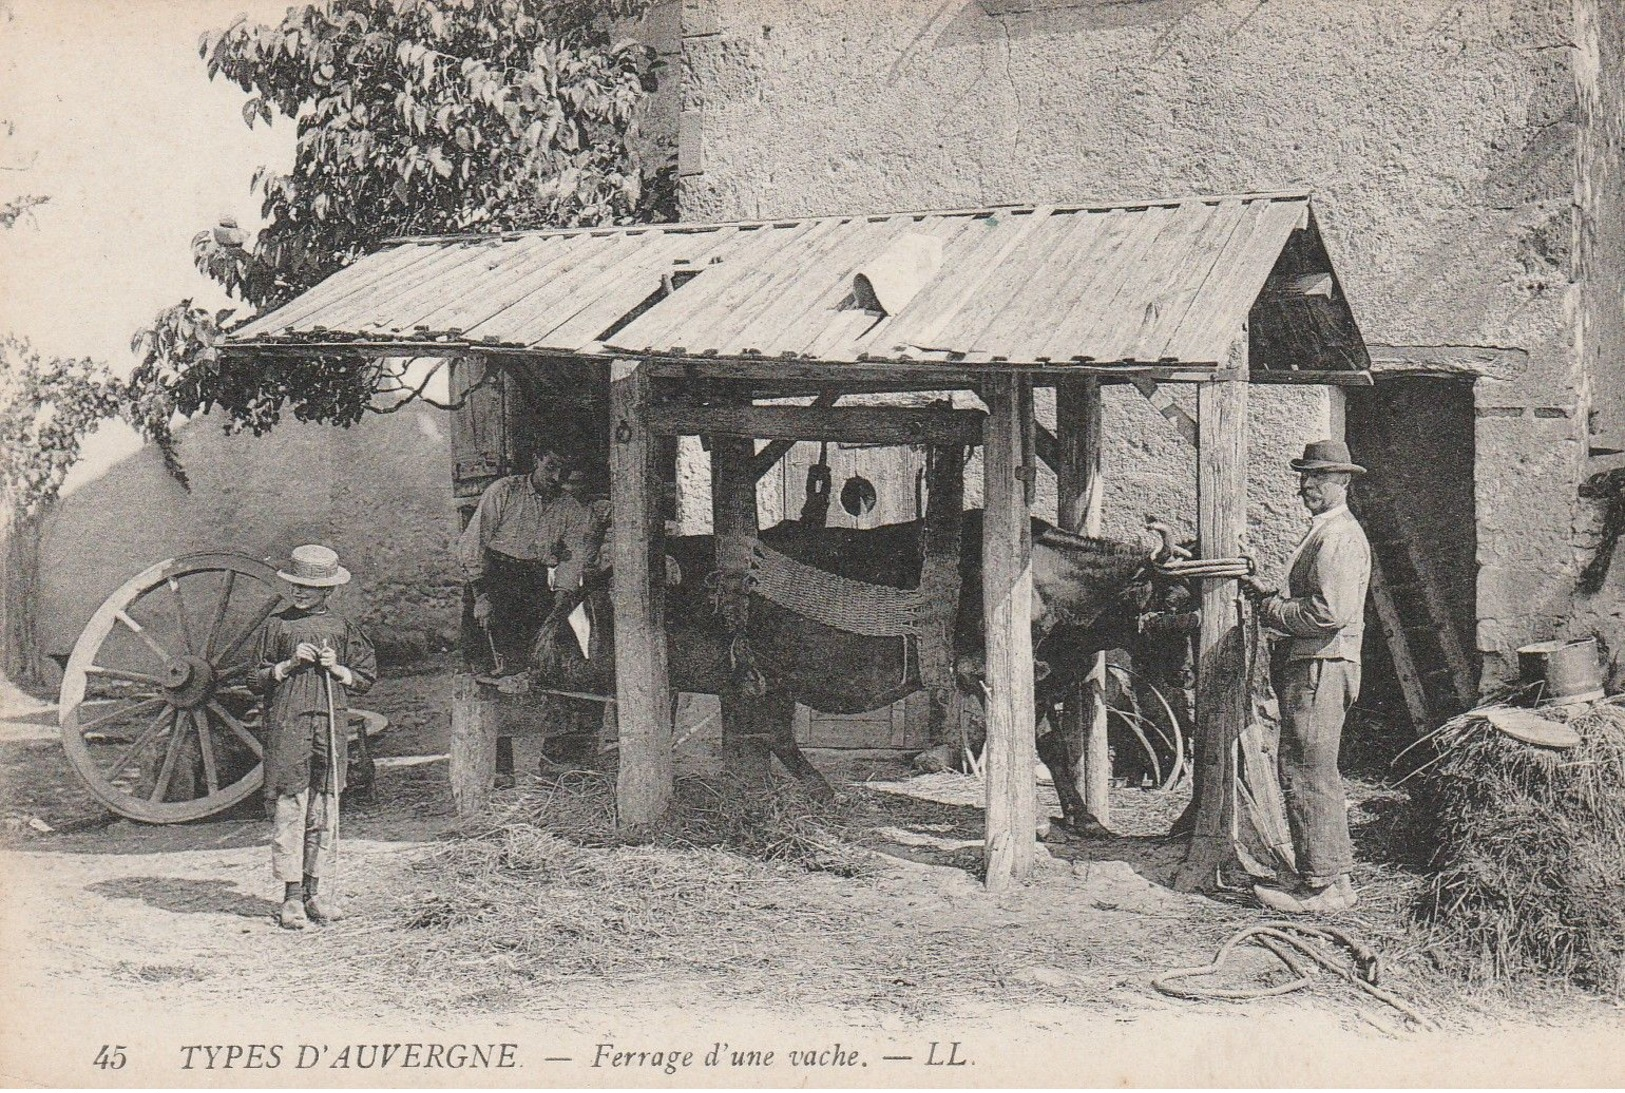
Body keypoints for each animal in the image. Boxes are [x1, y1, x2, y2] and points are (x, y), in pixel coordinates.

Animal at [533, 513, 1196, 828]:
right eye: (1173, 610)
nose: (1186, 683)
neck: (1044, 582)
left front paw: (1082, 815)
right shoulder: (985, 669)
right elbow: (1045, 743)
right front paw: (1080, 817)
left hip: (766, 678)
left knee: (770, 734)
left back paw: (816, 795)